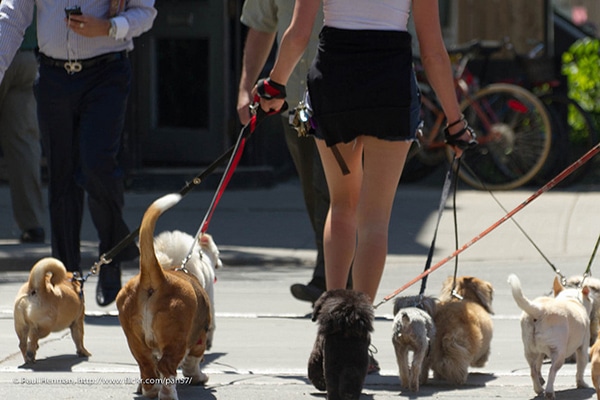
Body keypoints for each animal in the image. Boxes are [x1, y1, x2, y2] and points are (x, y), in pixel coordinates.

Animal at [116, 192, 212, 398]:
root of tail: (158, 278)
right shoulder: (199, 338)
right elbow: (193, 362)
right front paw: (199, 377)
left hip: (135, 340)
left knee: (147, 365)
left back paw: (150, 390)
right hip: (176, 340)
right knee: (166, 366)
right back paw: (168, 394)